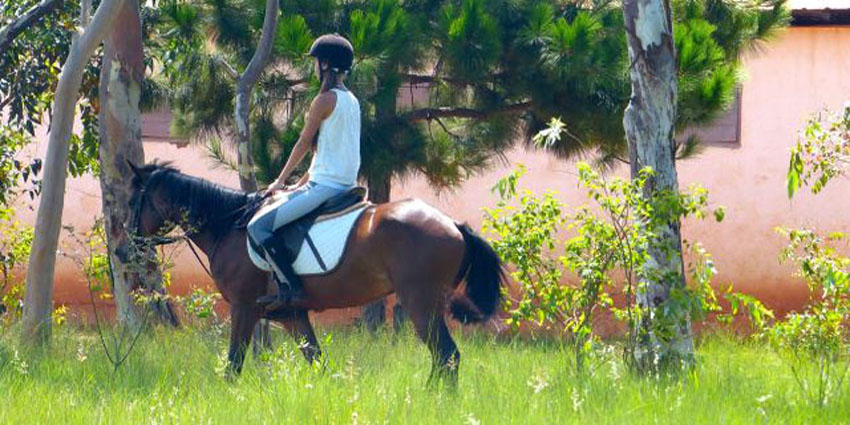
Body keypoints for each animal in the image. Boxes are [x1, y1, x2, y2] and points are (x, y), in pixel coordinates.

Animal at [126, 161, 504, 378]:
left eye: (133, 202)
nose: (121, 249)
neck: (229, 226)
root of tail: (453, 224)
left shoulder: (243, 307)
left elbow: (233, 365)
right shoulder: (292, 315)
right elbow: (317, 362)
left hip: (420, 303)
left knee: (447, 357)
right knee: (445, 359)